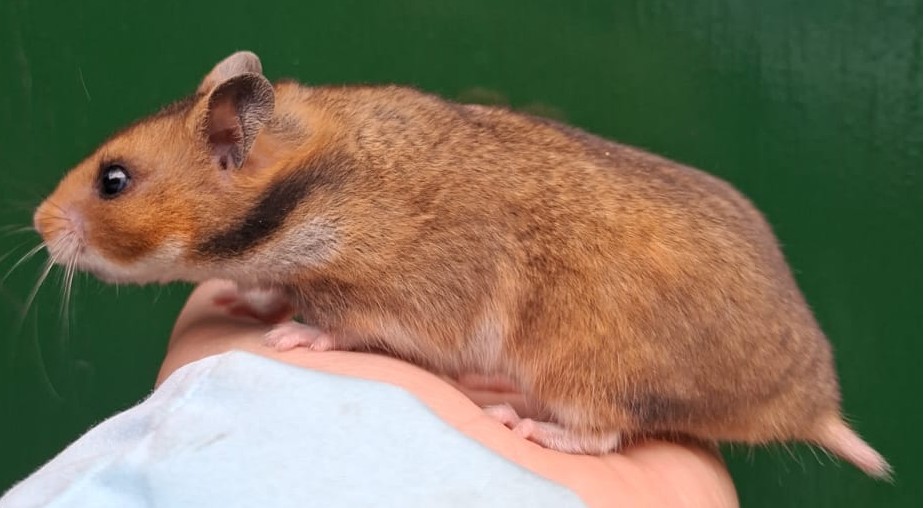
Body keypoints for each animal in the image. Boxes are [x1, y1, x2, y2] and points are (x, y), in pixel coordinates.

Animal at [33, 51, 890, 478]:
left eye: (114, 180)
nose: (38, 225)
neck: (309, 186)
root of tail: (809, 402)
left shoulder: (398, 294)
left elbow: (342, 322)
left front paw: (294, 336)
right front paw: (250, 303)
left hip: (582, 369)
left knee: (602, 435)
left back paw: (521, 420)